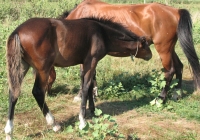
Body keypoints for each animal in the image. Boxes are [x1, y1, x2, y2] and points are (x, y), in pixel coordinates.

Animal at [3, 16, 152, 139]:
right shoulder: (91, 61)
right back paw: (54, 124)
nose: (150, 55)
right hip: (43, 69)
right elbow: (86, 87)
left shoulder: (87, 64)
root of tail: (17, 31)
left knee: (13, 92)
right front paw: (82, 121)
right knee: (38, 92)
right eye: (145, 46)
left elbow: (90, 85)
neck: (102, 34)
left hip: (22, 66)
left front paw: (93, 110)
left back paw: (9, 131)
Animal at [55, 0, 199, 102]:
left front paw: (80, 95)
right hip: (170, 48)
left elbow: (83, 74)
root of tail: (175, 11)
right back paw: (177, 93)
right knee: (179, 66)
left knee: (170, 71)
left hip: (163, 50)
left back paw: (161, 98)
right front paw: (94, 92)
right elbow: (92, 74)